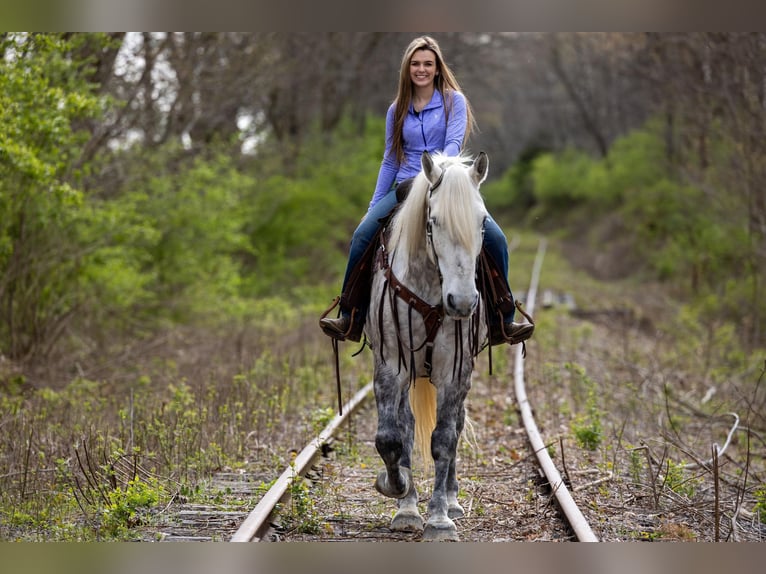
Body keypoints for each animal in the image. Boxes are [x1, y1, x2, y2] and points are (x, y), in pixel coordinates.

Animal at [368, 151, 492, 544]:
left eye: (482, 222)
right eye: (433, 222)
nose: (462, 302)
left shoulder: (454, 369)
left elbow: (444, 440)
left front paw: (439, 519)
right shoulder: (391, 364)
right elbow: (390, 437)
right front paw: (399, 492)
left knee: (456, 427)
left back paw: (451, 502)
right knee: (405, 426)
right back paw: (407, 505)